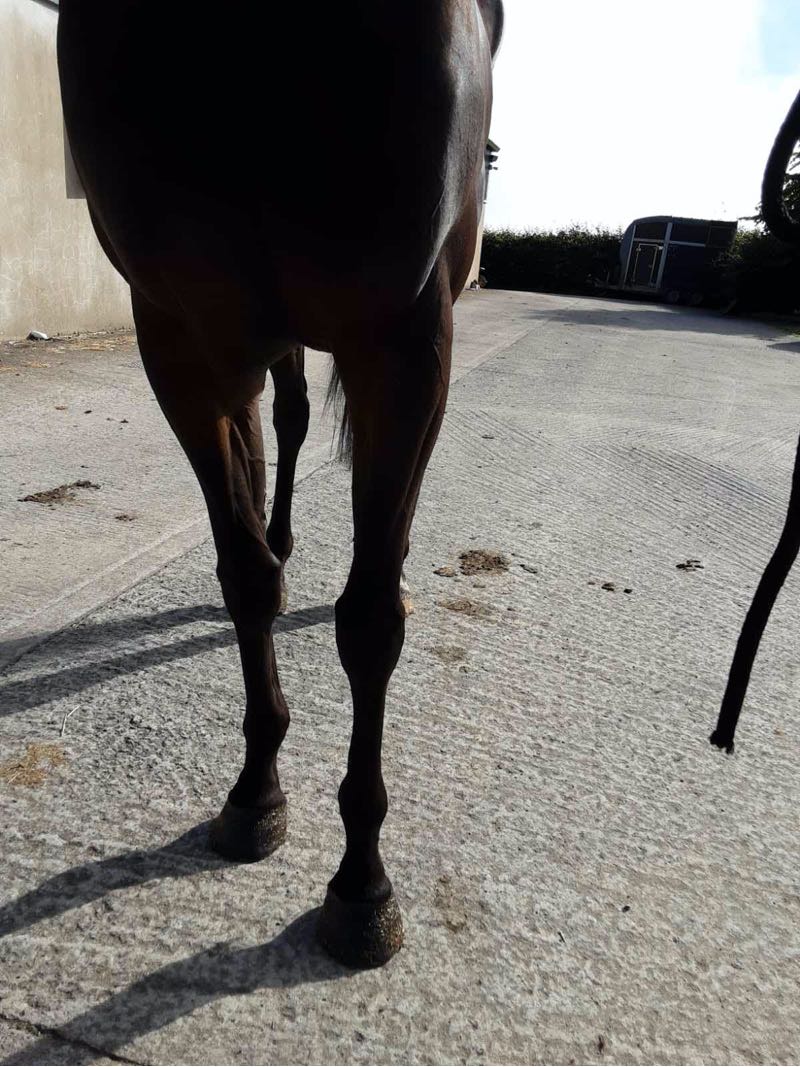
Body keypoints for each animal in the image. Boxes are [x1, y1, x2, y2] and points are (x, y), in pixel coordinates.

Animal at [57, 0, 503, 967]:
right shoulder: (182, 339)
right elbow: (247, 577)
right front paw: (255, 791)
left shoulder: (405, 337)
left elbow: (370, 622)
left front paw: (362, 886)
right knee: (287, 428)